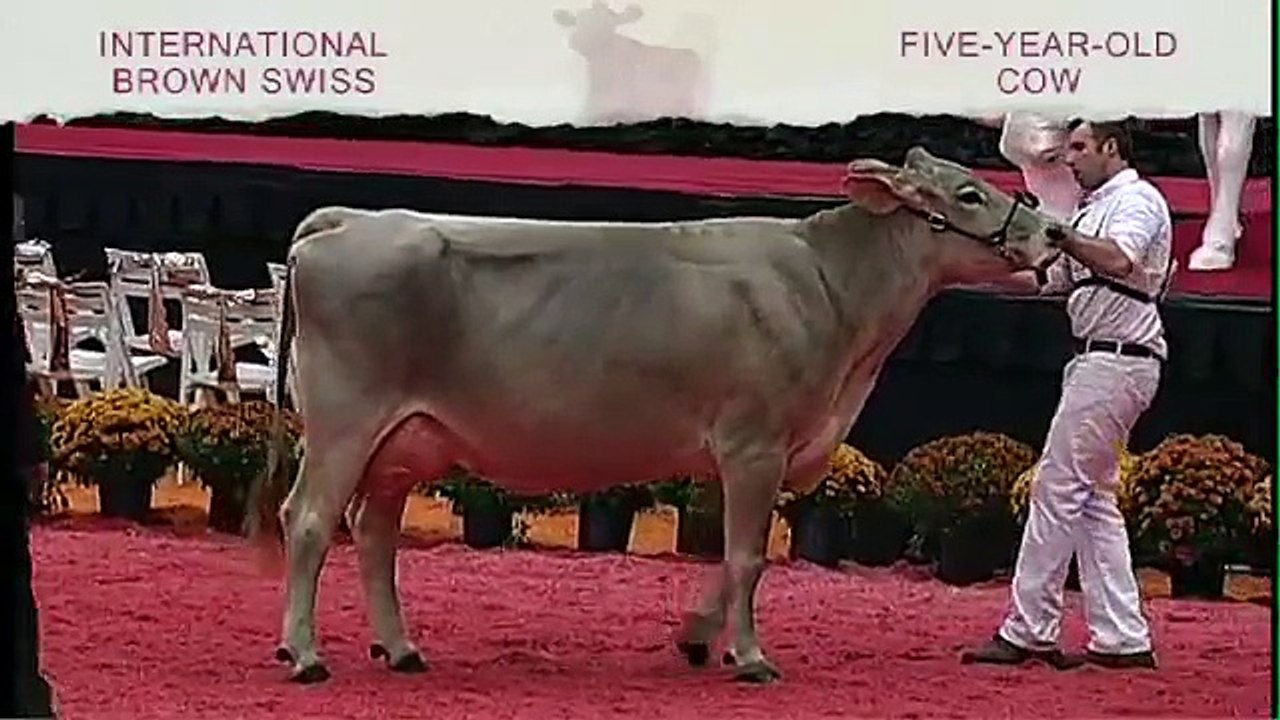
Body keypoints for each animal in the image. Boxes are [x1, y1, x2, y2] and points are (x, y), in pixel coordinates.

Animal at [249, 146, 1063, 685]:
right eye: (968, 194)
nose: (1054, 233)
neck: (832, 291)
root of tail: (347, 220)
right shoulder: (755, 442)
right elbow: (747, 557)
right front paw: (751, 657)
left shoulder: (755, 451)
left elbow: (730, 559)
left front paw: (697, 638)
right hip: (345, 422)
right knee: (310, 519)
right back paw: (305, 653)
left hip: (405, 441)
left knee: (374, 532)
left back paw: (402, 649)